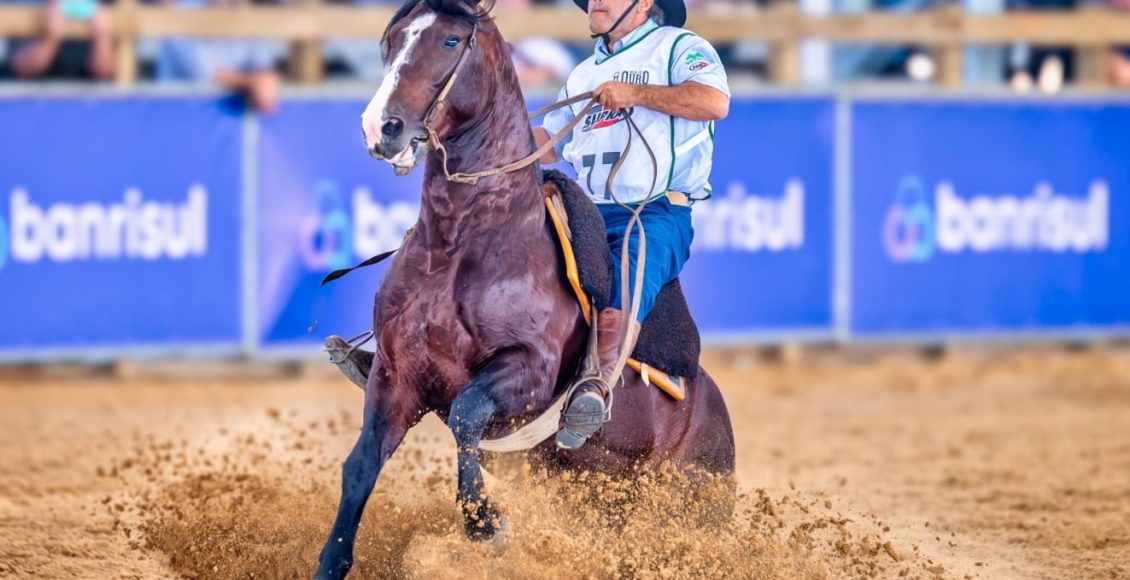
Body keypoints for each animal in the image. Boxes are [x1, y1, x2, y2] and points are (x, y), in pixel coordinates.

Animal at [314, 1, 736, 574]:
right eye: (394, 39)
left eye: (450, 41)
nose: (381, 126)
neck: (462, 246)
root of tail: (710, 405)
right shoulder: (396, 374)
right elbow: (360, 465)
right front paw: (330, 563)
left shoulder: (528, 371)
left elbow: (466, 415)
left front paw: (485, 524)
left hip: (695, 500)